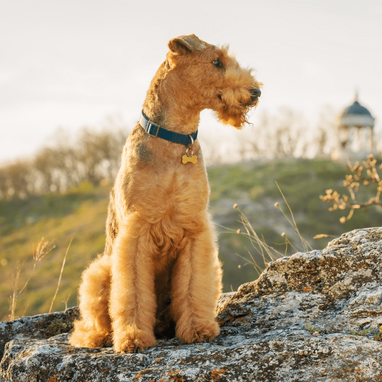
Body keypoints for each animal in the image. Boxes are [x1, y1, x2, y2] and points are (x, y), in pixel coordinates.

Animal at [69, 33, 260, 352]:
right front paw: (133, 337)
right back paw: (97, 337)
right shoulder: (136, 230)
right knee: (91, 320)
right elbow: (132, 292)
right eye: (216, 61)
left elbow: (194, 286)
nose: (256, 91)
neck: (175, 141)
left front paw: (198, 328)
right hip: (99, 271)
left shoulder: (194, 228)